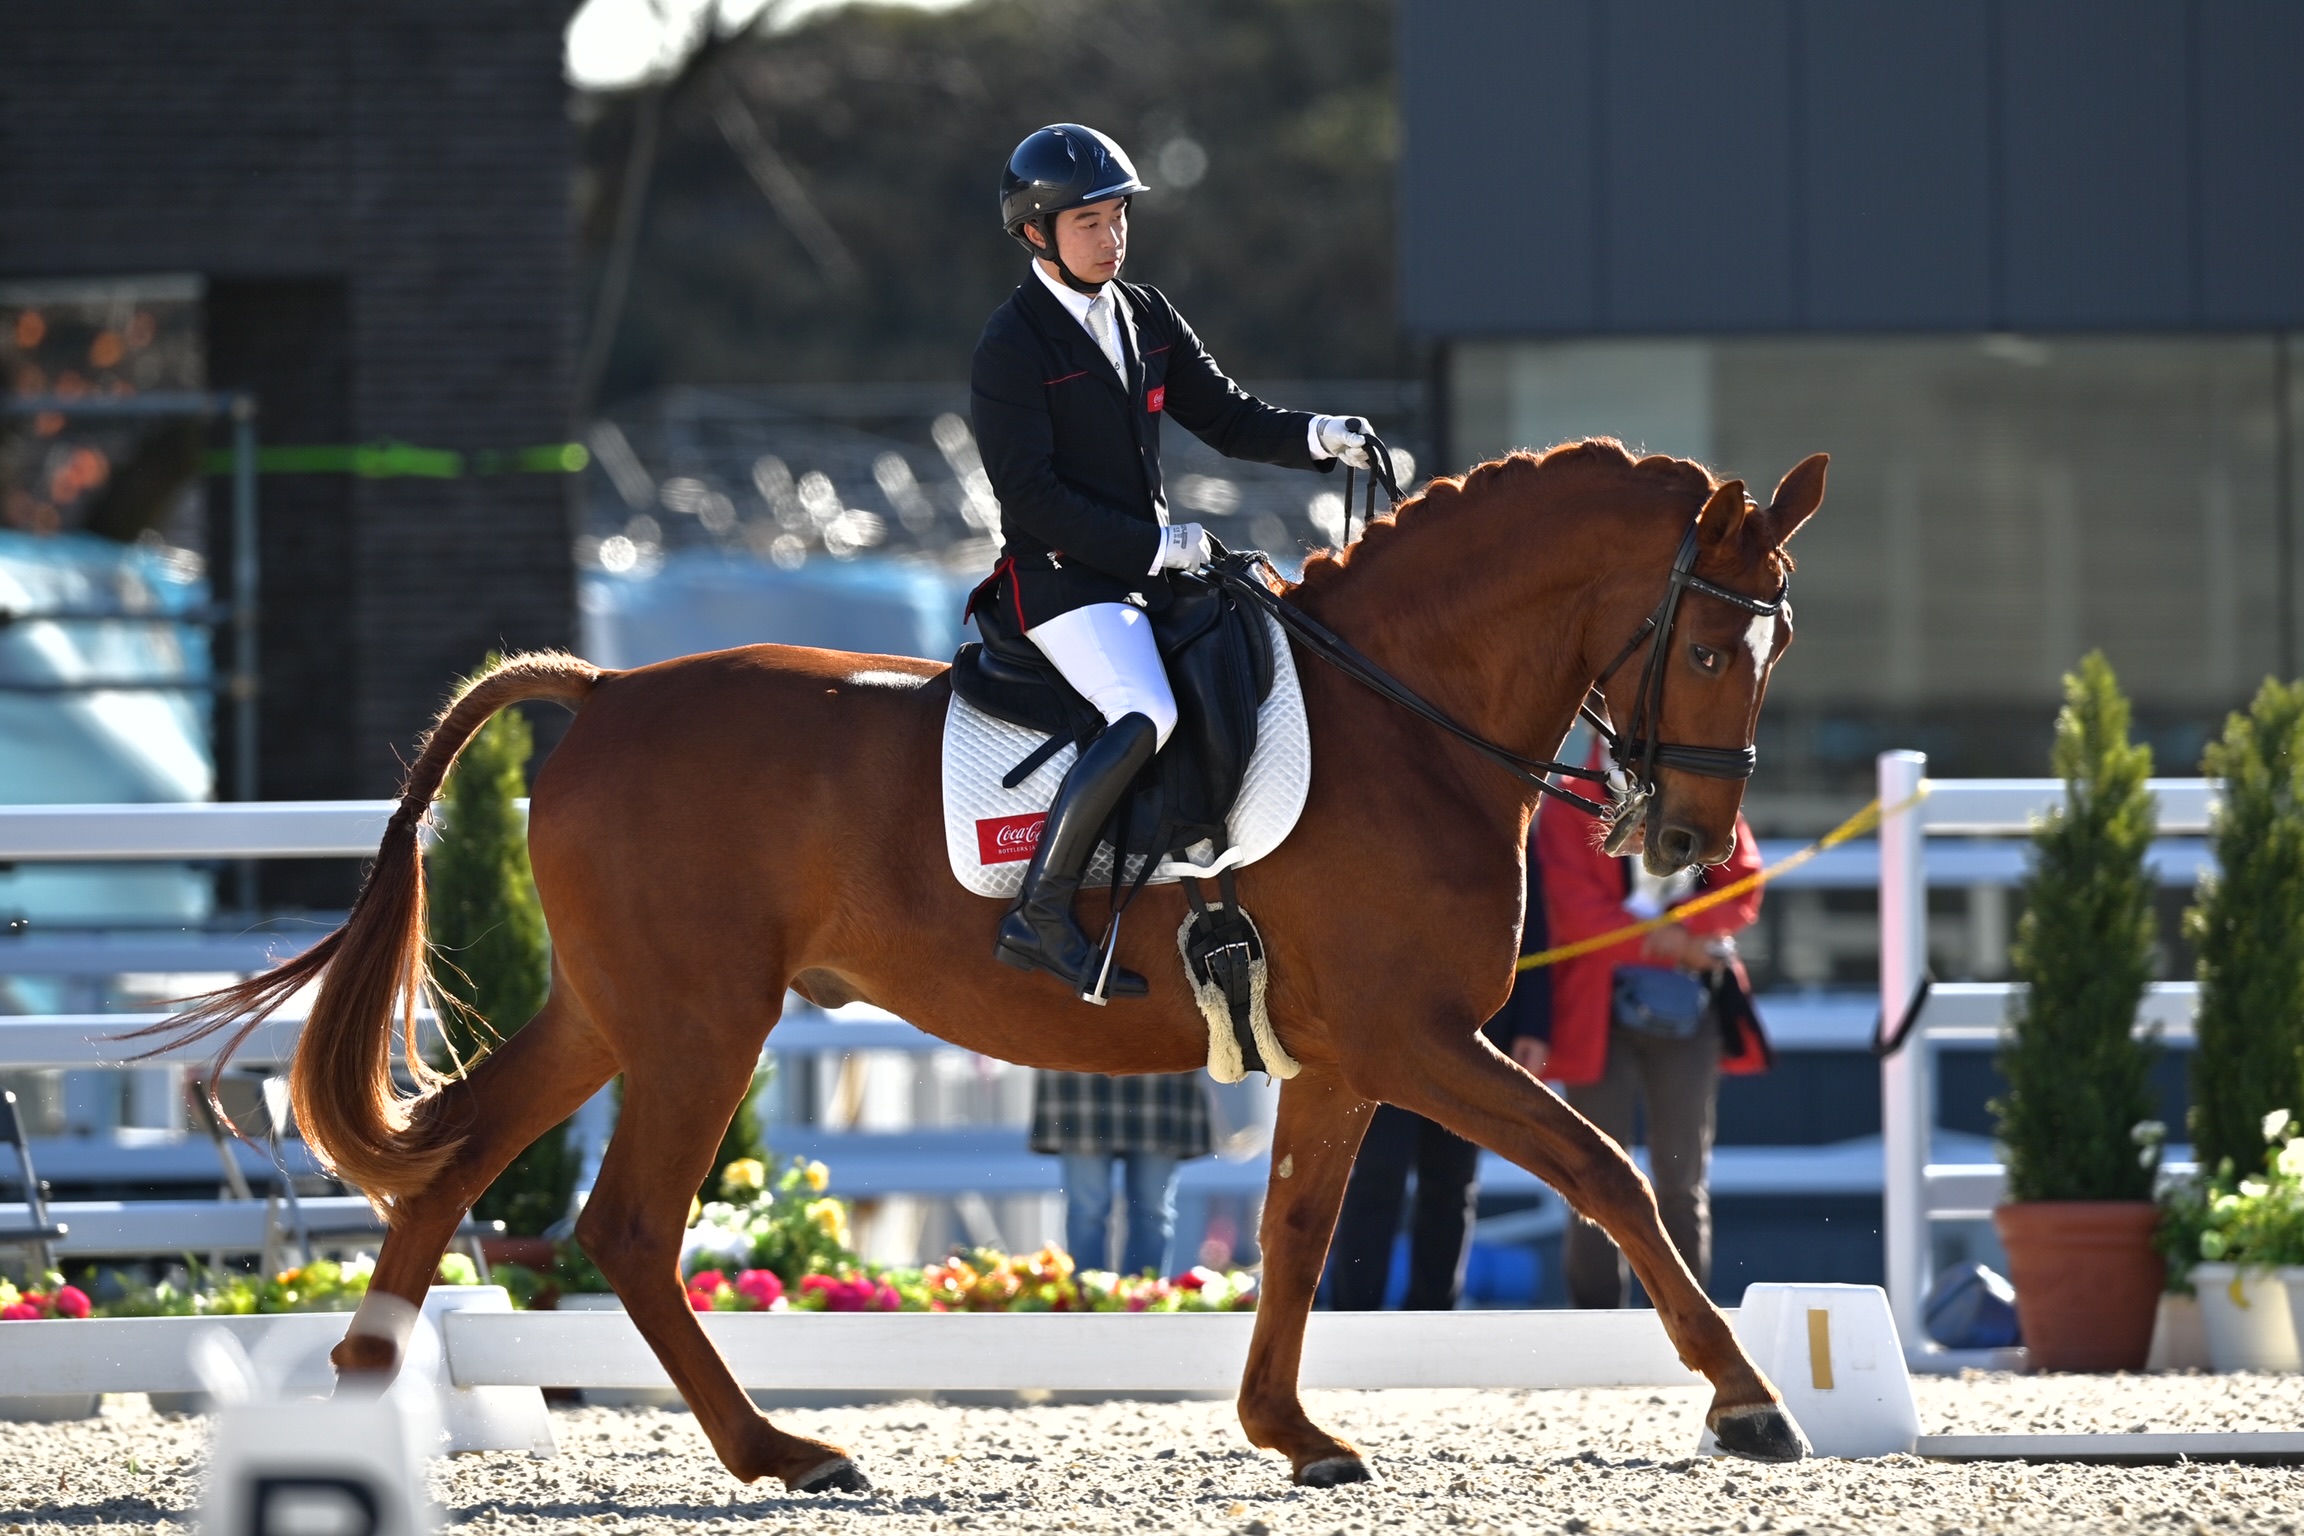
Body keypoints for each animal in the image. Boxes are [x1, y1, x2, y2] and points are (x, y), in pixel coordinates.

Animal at [153, 437, 1824, 1492]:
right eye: (1708, 647)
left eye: (1778, 646)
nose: (1690, 839)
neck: (1402, 717)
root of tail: (610, 688)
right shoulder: (1414, 1042)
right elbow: (1605, 1171)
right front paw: (1747, 1402)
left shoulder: (1343, 1059)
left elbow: (1293, 1234)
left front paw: (1291, 1433)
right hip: (701, 1022)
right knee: (624, 1226)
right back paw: (784, 1455)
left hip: (613, 1014)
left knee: (453, 1170)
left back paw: (364, 1409)